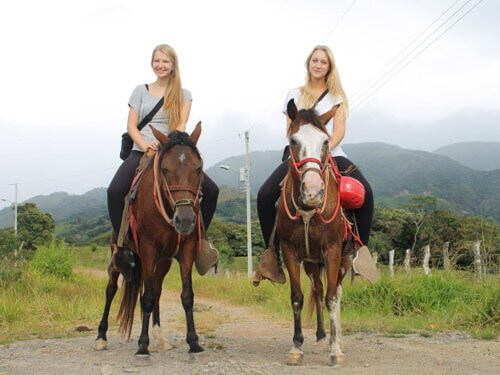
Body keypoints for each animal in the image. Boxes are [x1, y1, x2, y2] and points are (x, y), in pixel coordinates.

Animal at [95, 124, 205, 358]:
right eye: (165, 169)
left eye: (198, 169)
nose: (185, 219)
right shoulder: (147, 250)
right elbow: (145, 298)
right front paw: (142, 346)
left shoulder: (187, 250)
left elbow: (187, 296)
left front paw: (193, 342)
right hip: (118, 258)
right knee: (111, 289)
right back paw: (101, 336)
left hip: (162, 261)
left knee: (156, 290)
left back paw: (160, 337)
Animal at [276, 100, 350, 368]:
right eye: (293, 140)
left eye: (326, 141)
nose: (313, 191)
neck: (309, 211)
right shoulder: (290, 251)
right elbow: (297, 297)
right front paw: (297, 347)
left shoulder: (333, 251)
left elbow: (332, 299)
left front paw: (336, 350)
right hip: (311, 262)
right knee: (317, 290)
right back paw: (320, 338)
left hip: (341, 261)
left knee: (335, 292)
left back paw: (335, 339)